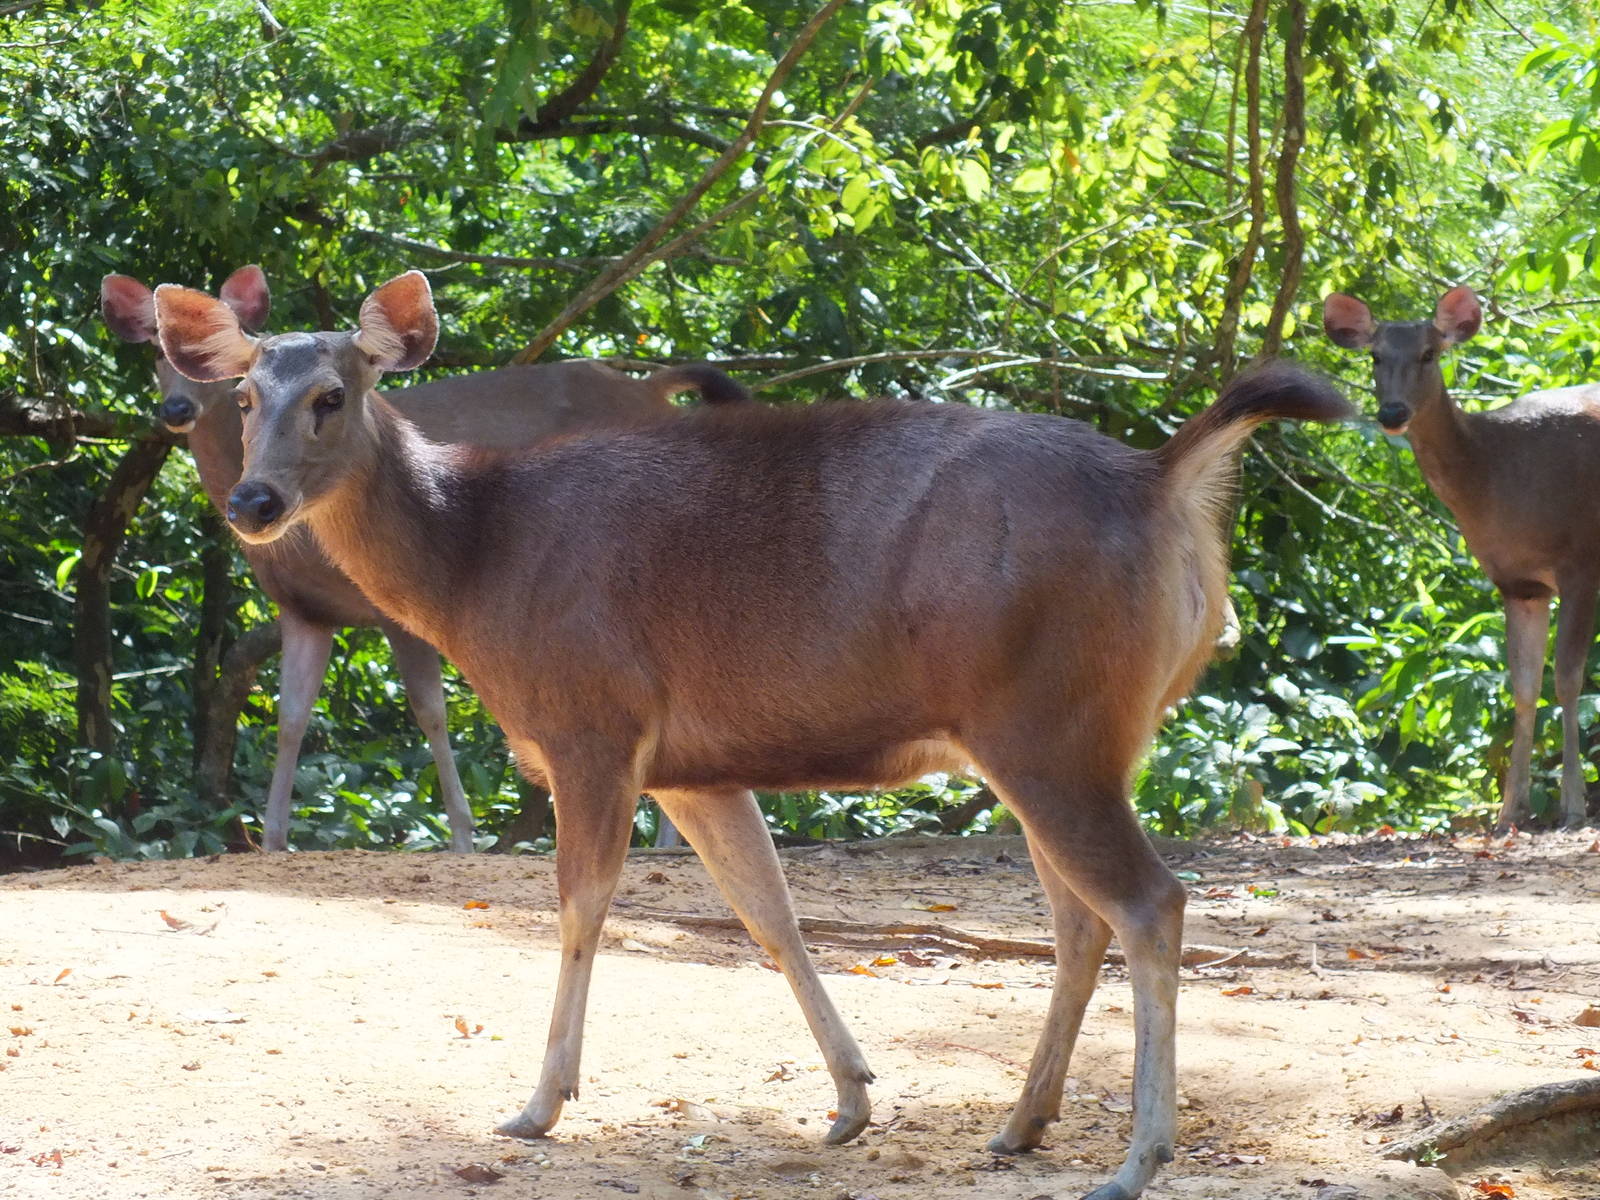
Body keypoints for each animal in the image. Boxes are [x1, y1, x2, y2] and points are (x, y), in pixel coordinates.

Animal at [102, 267, 745, 852]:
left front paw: (463, 836)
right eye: (244, 396)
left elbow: (430, 711)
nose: (252, 502)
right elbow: (290, 719)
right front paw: (274, 839)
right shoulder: (302, 608)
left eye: (332, 397)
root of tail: (656, 389)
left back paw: (665, 843)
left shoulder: (400, 609)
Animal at [1324, 286, 1600, 831]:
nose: (1391, 413)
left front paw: (1574, 807)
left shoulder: (1581, 562)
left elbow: (1567, 680)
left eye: (1429, 354)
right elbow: (1524, 687)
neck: (1496, 471)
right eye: (1375, 356)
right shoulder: (1519, 584)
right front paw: (1509, 812)